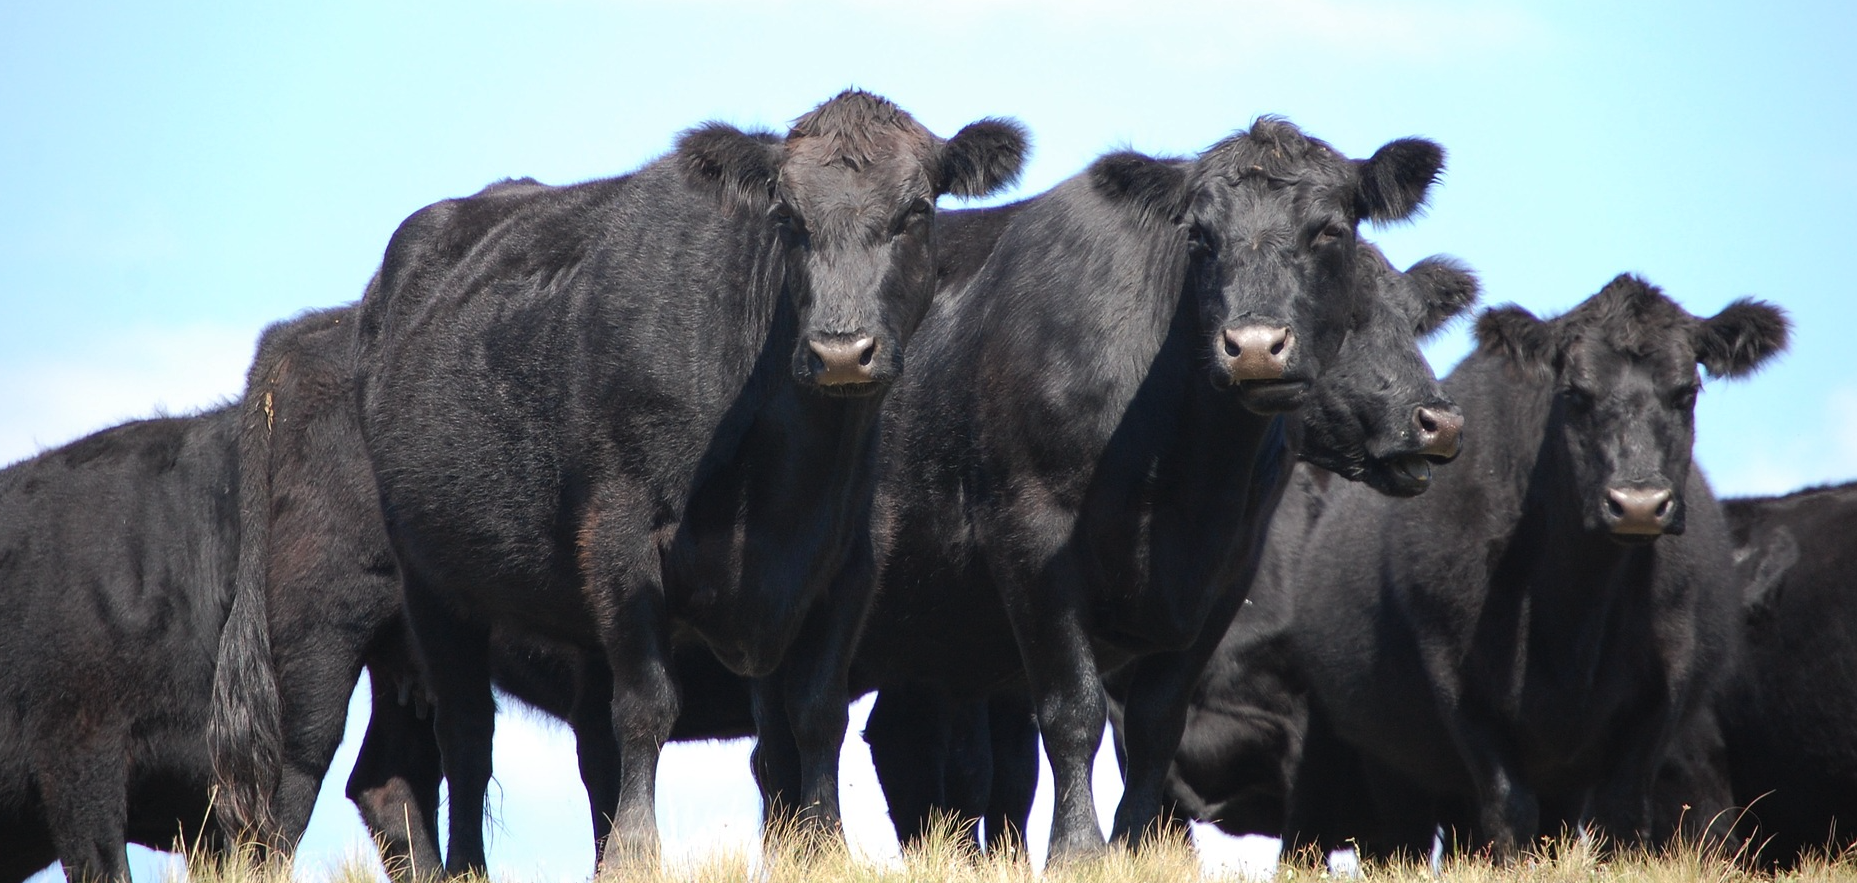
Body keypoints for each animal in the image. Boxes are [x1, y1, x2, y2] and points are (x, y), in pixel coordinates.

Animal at [343, 89, 1025, 869]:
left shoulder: (847, 560)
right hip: (431, 582)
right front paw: (637, 851)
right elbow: (648, 706)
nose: (841, 350)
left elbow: (814, 713)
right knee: (466, 736)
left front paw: (823, 846)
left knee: (588, 747)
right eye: (788, 219)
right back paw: (467, 868)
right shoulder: (621, 536)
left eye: (915, 211)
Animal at [1277, 278, 1782, 862]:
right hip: (1383, 755)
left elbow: (1623, 810)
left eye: (1687, 392)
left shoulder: (1664, 687)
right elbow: (1509, 808)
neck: (1574, 607)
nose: (1637, 503)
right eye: (1575, 394)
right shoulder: (1457, 679)